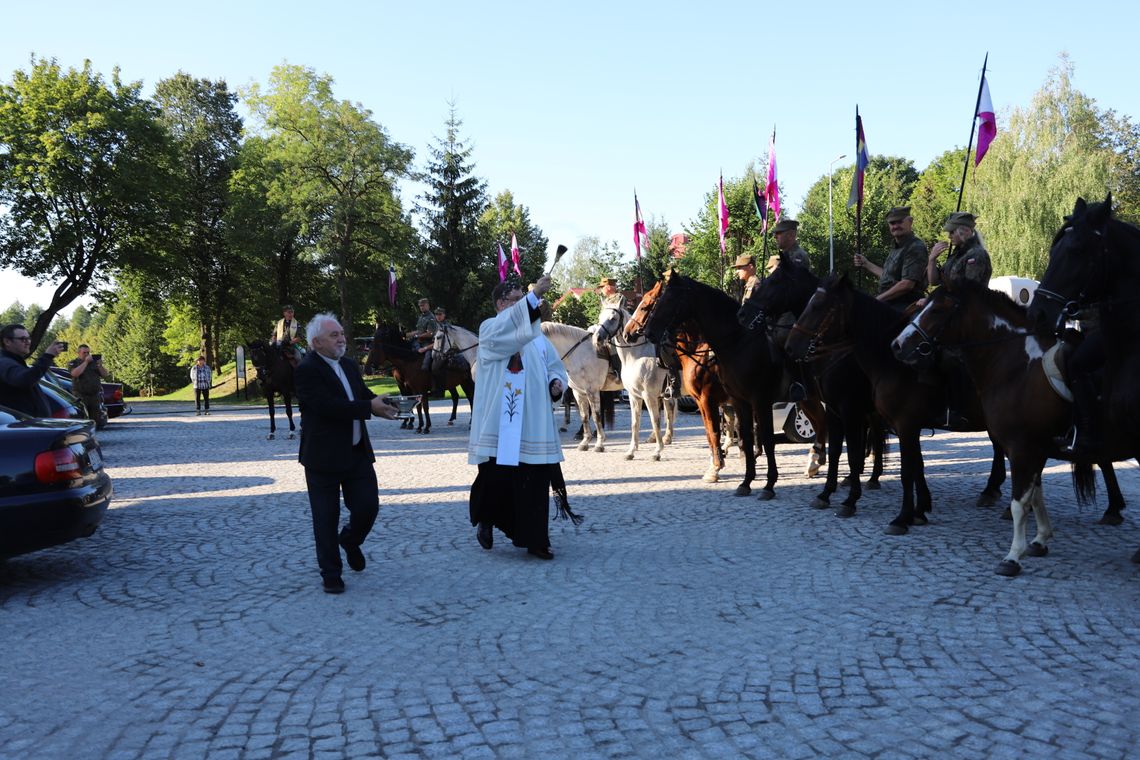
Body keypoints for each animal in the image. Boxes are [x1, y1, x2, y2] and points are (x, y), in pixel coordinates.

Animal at [542, 321, 624, 451]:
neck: (579, 355)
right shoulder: (579, 392)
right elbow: (584, 415)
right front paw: (585, 442)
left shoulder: (592, 391)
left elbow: (596, 415)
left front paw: (599, 444)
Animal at [597, 305, 674, 460]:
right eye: (600, 317)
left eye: (613, 318)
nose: (598, 337)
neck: (637, 356)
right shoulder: (634, 396)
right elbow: (634, 423)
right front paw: (631, 451)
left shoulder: (649, 396)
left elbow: (655, 421)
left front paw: (657, 451)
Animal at [638, 270, 788, 501]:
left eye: (648, 304)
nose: (646, 332)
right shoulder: (705, 401)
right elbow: (711, 433)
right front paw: (719, 464)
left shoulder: (714, 399)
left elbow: (717, 431)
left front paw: (716, 468)